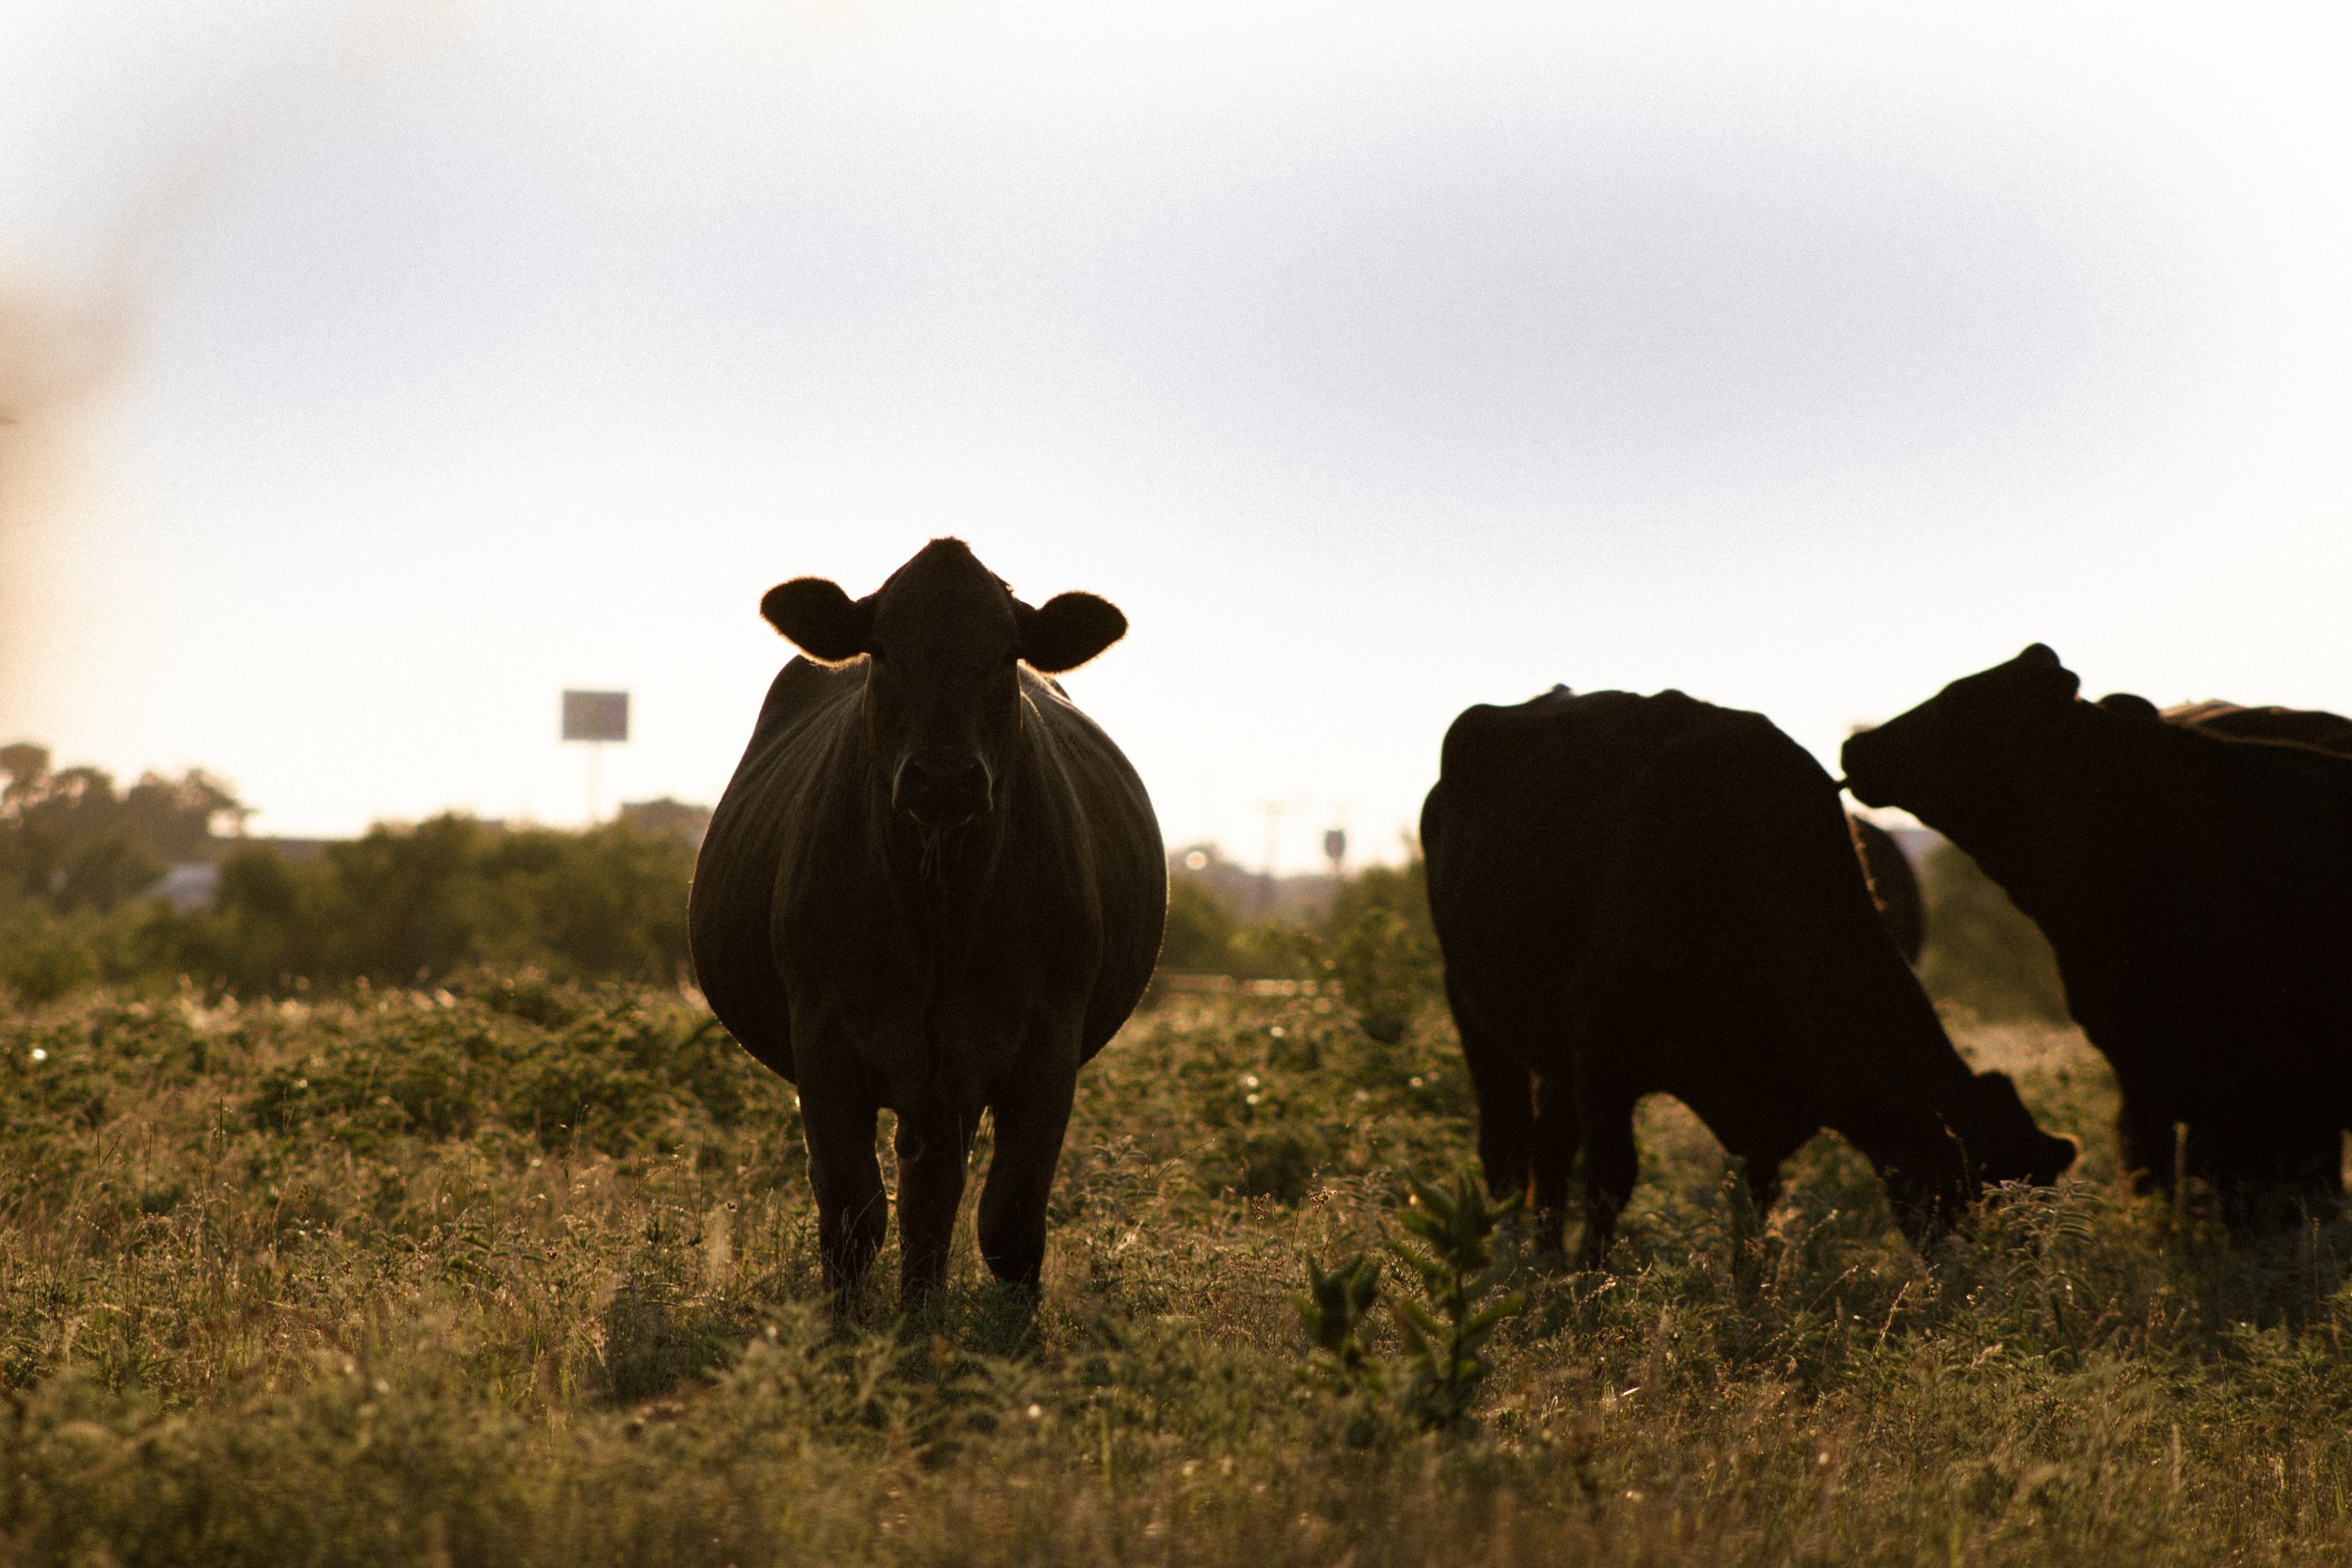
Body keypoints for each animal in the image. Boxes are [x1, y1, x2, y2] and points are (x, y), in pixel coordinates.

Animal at [689, 539, 1166, 1304]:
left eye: (1007, 654)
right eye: (883, 650)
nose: (943, 777)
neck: (939, 903)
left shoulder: (1045, 1041)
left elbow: (1008, 1221)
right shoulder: (823, 1036)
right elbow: (853, 1214)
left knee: (934, 1193)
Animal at [1423, 687, 2074, 1267]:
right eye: (1979, 1199)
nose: (2011, 1296)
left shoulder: (1758, 1115)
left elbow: (1754, 1217)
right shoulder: (1603, 1054)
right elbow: (1609, 1184)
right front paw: (1589, 1293)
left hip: (1555, 1058)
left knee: (1548, 1155)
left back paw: (1544, 1261)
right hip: (1472, 1010)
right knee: (1507, 1156)